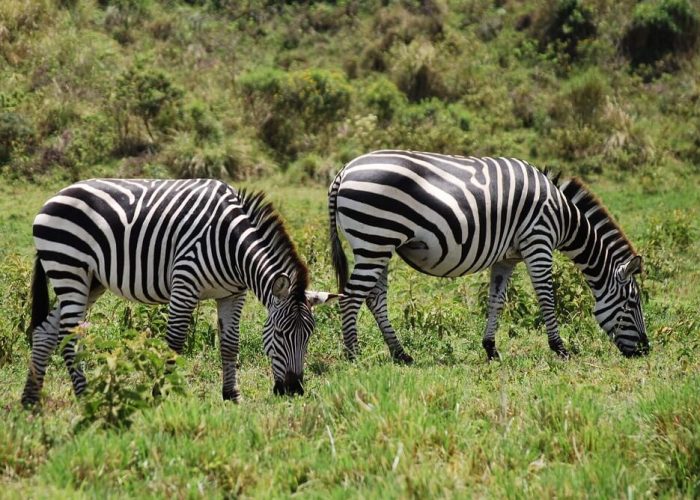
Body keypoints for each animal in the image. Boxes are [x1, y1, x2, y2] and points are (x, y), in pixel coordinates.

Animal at [22, 178, 338, 407]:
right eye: (281, 333)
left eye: (309, 335)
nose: (294, 390)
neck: (232, 246)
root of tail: (53, 197)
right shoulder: (185, 283)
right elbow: (174, 343)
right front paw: (159, 395)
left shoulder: (232, 295)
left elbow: (230, 344)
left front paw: (232, 395)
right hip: (69, 269)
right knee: (68, 337)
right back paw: (85, 396)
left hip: (90, 281)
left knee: (46, 332)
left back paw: (30, 400)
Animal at [328, 150, 649, 362]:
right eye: (632, 303)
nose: (646, 350)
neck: (563, 217)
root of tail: (344, 170)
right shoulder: (538, 242)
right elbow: (547, 298)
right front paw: (560, 348)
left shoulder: (506, 258)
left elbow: (497, 301)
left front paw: (491, 348)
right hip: (375, 238)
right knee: (352, 296)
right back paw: (353, 355)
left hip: (379, 245)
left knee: (375, 298)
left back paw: (401, 354)